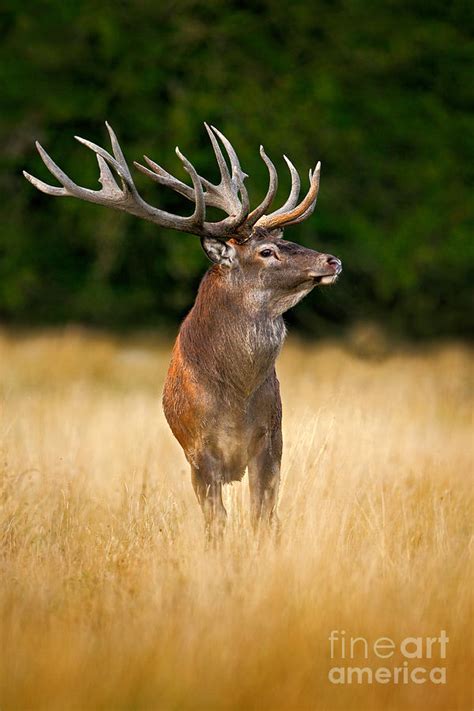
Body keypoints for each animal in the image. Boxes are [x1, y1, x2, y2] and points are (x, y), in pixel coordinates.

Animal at [23, 124, 340, 540]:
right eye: (268, 251)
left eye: (286, 240)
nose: (332, 260)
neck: (236, 395)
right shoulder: (198, 451)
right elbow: (216, 523)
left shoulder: (272, 439)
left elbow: (263, 518)